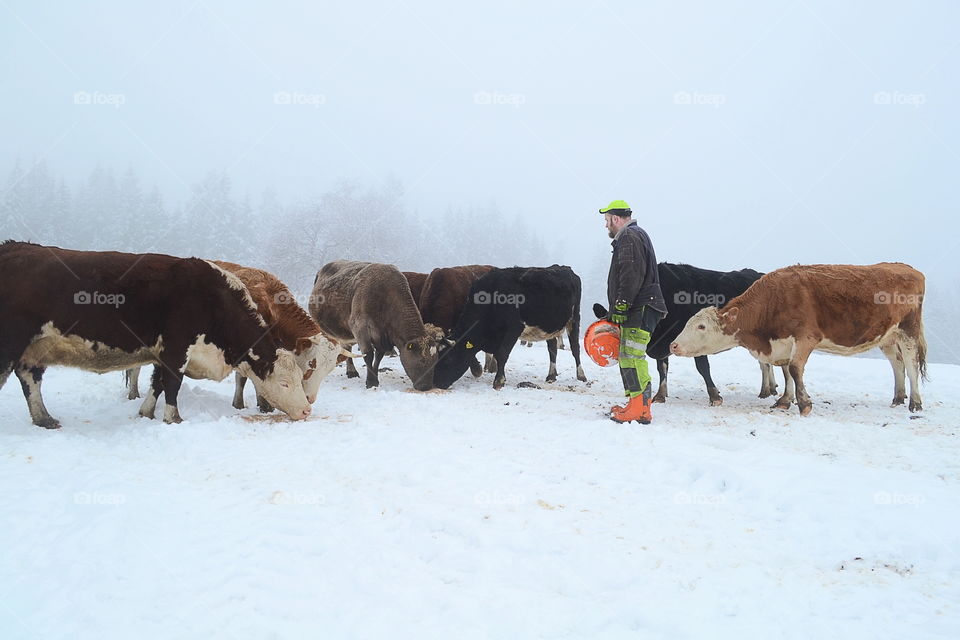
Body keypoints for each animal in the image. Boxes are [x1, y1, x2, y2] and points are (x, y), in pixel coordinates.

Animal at [0, 242, 312, 428]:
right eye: (284, 383)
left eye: (300, 378)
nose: (307, 410)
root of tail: (13, 246)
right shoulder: (177, 348)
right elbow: (172, 385)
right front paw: (173, 419)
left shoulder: (163, 352)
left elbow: (157, 383)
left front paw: (145, 412)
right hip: (11, 342)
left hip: (35, 348)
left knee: (30, 379)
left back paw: (44, 418)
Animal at [124, 262, 352, 416]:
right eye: (311, 363)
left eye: (329, 368)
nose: (310, 399)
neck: (270, 305)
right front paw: (253, 404)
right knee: (135, 369)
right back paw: (133, 393)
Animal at [308, 260, 442, 390]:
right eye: (421, 361)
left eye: (435, 361)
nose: (426, 387)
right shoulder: (360, 327)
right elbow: (368, 354)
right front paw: (371, 382)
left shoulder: (381, 336)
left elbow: (378, 357)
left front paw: (375, 379)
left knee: (347, 347)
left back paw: (351, 371)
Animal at [434, 264, 584, 390]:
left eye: (449, 359)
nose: (437, 383)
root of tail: (564, 268)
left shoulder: (514, 328)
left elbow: (502, 354)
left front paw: (499, 381)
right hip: (548, 326)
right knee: (552, 349)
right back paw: (551, 375)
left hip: (574, 318)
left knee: (575, 348)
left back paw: (581, 375)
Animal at [672, 264, 928, 418]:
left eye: (701, 326)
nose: (672, 345)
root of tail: (907, 268)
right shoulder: (783, 344)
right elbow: (786, 372)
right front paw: (785, 400)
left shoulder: (806, 337)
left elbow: (795, 369)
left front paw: (804, 404)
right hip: (887, 337)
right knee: (897, 363)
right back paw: (898, 398)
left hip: (908, 330)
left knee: (911, 363)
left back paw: (915, 402)